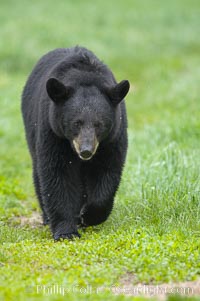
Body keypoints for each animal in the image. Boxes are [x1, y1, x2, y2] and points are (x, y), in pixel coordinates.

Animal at [21, 46, 129, 239]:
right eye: (76, 123)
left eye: (98, 124)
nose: (86, 150)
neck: (85, 77)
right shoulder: (53, 132)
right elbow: (58, 175)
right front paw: (66, 232)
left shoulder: (113, 137)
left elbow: (107, 171)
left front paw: (88, 215)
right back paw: (47, 217)